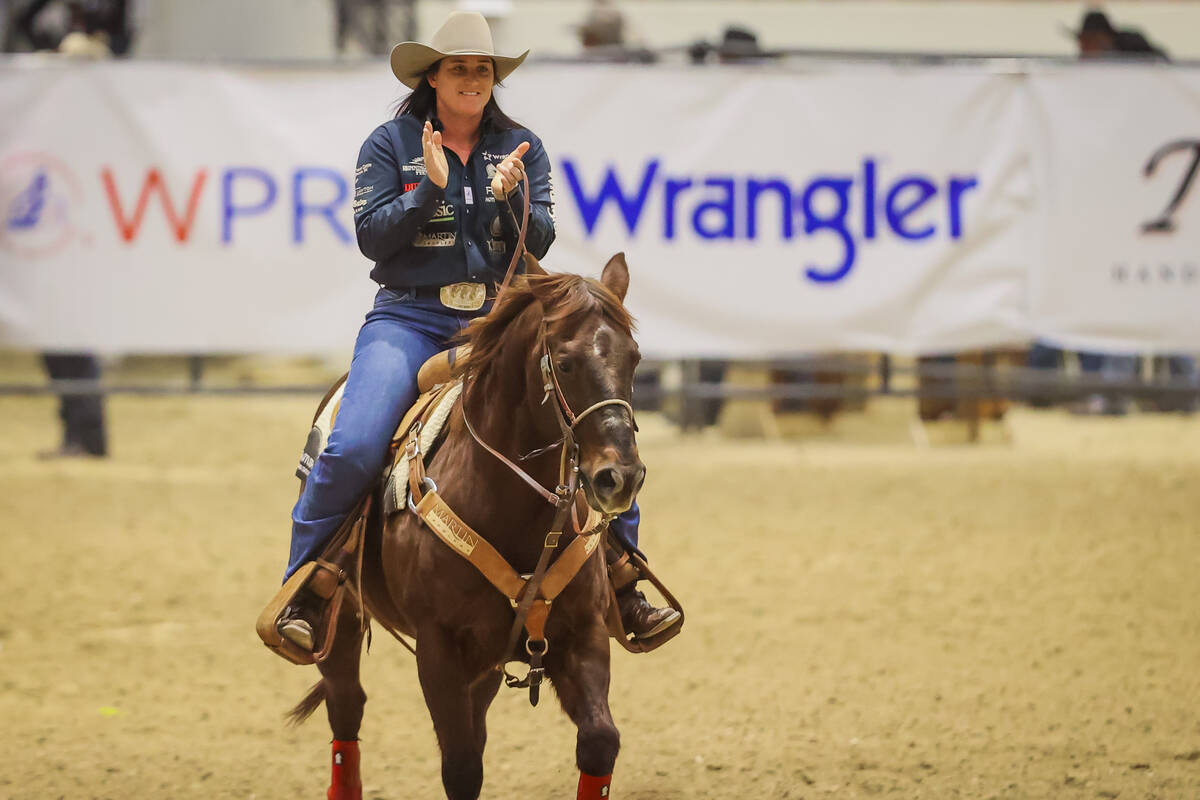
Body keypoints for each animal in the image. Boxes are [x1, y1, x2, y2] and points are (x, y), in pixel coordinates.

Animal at [288, 253, 648, 796]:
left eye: (635, 359)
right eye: (565, 362)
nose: (620, 477)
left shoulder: (582, 633)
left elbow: (600, 740)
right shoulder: (439, 650)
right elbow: (461, 767)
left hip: (487, 666)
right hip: (342, 618)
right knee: (345, 706)